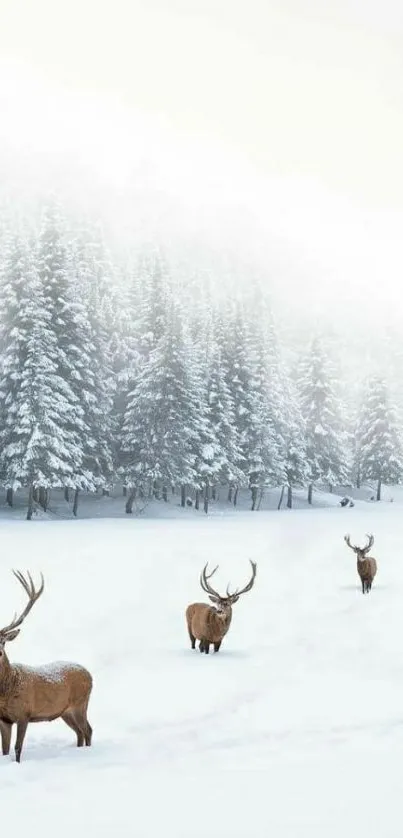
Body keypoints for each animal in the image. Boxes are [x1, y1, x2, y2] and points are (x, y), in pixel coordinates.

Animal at [0, 576, 93, 764]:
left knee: (88, 730)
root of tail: (90, 675)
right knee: (80, 732)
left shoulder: (24, 713)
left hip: (80, 703)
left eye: (3, 641)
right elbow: (4, 751)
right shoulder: (3, 719)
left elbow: (17, 748)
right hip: (66, 711)